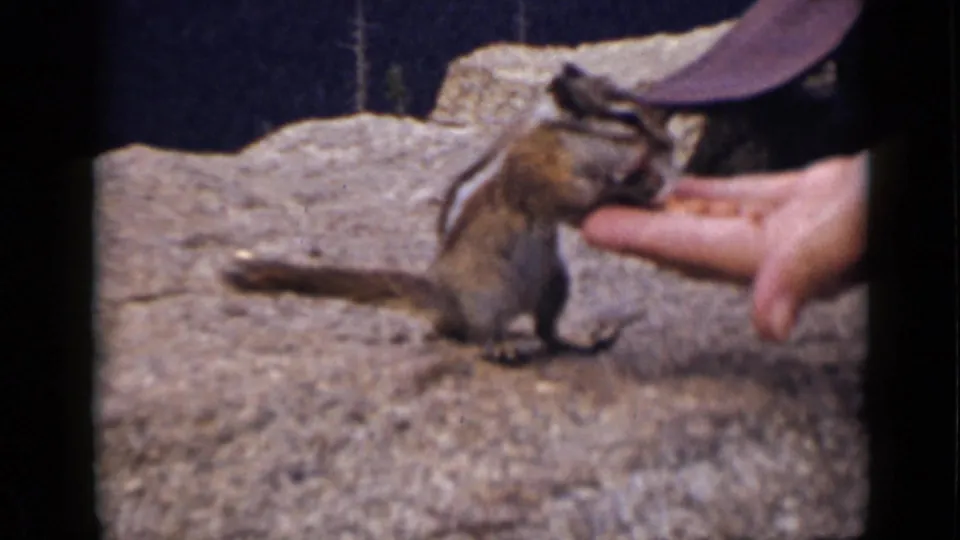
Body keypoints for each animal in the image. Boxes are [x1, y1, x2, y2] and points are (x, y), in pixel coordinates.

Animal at [221, 63, 680, 366]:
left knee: (544, 331)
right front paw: (629, 188)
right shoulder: (542, 171)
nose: (669, 146)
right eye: (628, 120)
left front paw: (643, 186)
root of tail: (442, 297)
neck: (570, 139)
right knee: (472, 334)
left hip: (554, 282)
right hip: (490, 291)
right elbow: (573, 199)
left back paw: (573, 342)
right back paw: (500, 345)